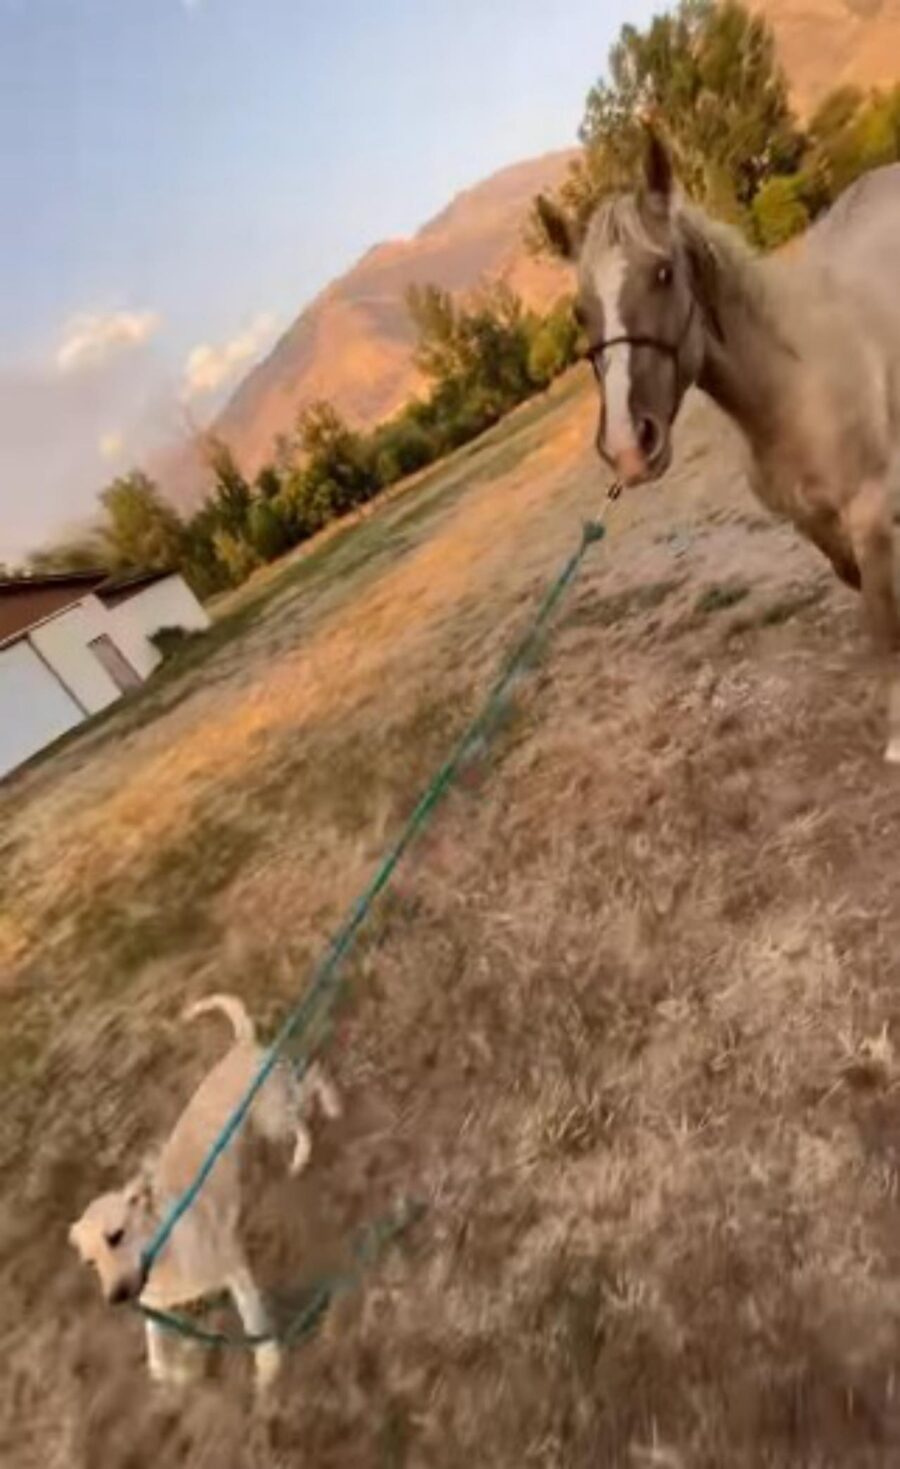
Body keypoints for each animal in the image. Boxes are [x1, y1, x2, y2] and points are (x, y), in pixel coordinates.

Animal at [69, 987, 340, 1386]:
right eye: (89, 1263)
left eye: (116, 1236)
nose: (116, 1297)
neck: (164, 1253)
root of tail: (240, 1046)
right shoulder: (157, 1308)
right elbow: (157, 1360)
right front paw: (179, 1371)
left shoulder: (234, 1268)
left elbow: (254, 1323)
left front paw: (268, 1363)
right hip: (266, 1120)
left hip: (272, 1116)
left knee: (312, 1083)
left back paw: (322, 1120)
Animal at [537, 135, 900, 769]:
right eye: (581, 311)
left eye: (663, 273)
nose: (628, 446)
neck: (797, 387)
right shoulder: (813, 524)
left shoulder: (870, 510)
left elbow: (885, 619)